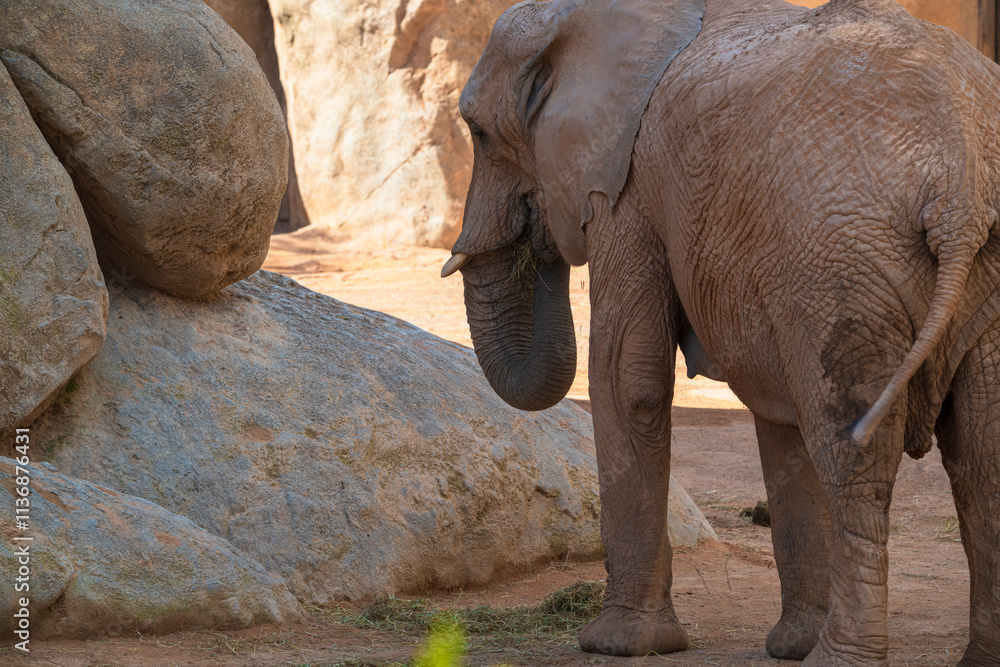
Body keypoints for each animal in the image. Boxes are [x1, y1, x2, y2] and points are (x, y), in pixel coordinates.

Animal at [441, 0, 1000, 663]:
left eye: (477, 132)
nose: (540, 231)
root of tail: (959, 185)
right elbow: (779, 415)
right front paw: (790, 645)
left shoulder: (628, 188)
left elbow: (627, 379)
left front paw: (618, 644)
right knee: (983, 455)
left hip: (841, 262)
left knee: (854, 448)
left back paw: (840, 658)